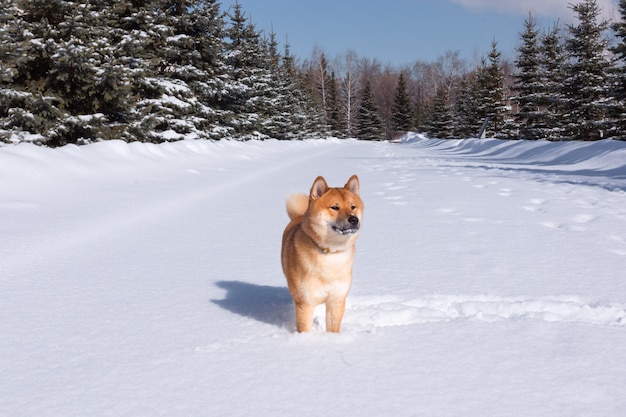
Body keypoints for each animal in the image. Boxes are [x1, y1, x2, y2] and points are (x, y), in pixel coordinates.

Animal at [282, 175, 364, 332]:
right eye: (335, 207)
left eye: (353, 207)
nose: (354, 219)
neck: (331, 253)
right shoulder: (305, 303)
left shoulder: (336, 300)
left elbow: (333, 328)